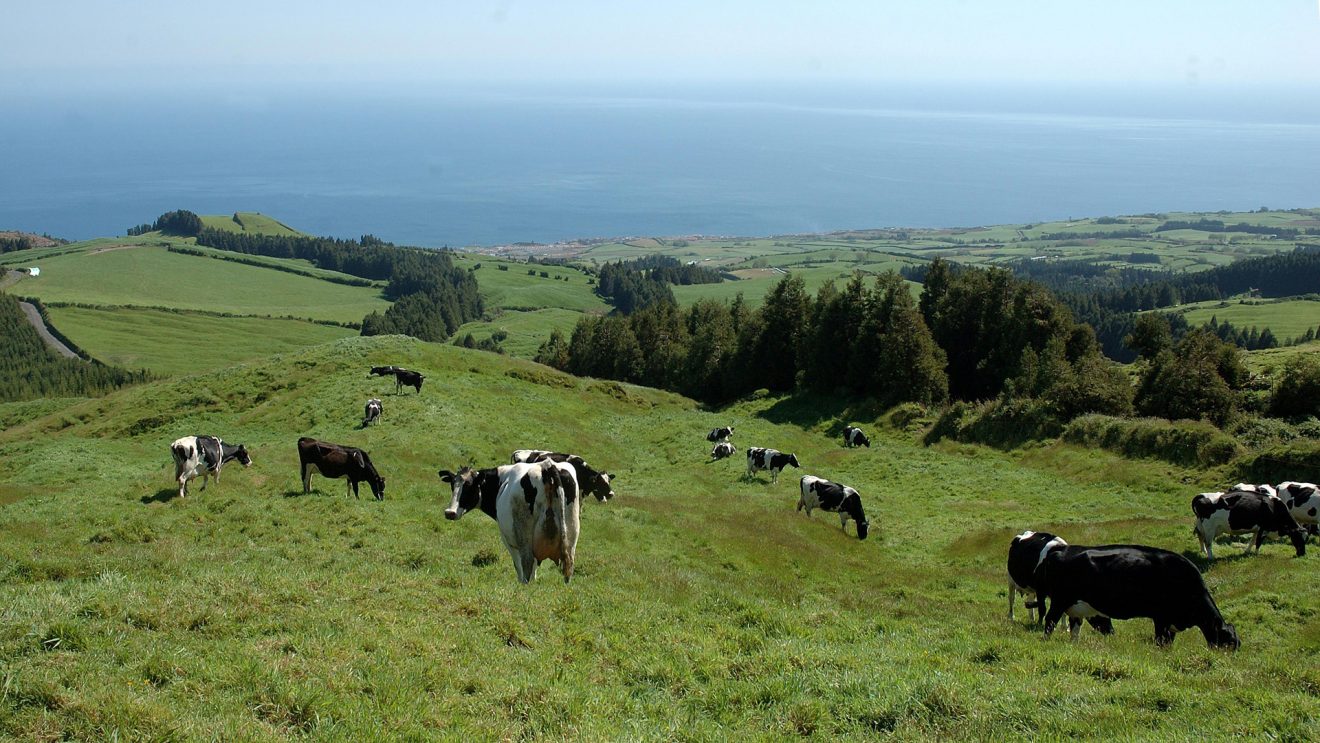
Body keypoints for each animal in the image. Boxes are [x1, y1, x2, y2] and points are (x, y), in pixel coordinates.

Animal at [440, 459, 580, 588]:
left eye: (469, 485)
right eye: (452, 485)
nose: (449, 512)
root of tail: (547, 465)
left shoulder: (508, 540)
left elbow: (518, 565)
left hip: (524, 535)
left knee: (527, 561)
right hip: (571, 533)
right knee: (569, 563)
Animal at [1034, 541, 1240, 651]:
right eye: (1228, 643)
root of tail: (1062, 549)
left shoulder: (1171, 622)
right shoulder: (1162, 618)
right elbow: (1161, 641)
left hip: (1076, 606)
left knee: (1074, 627)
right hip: (1060, 600)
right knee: (1050, 621)